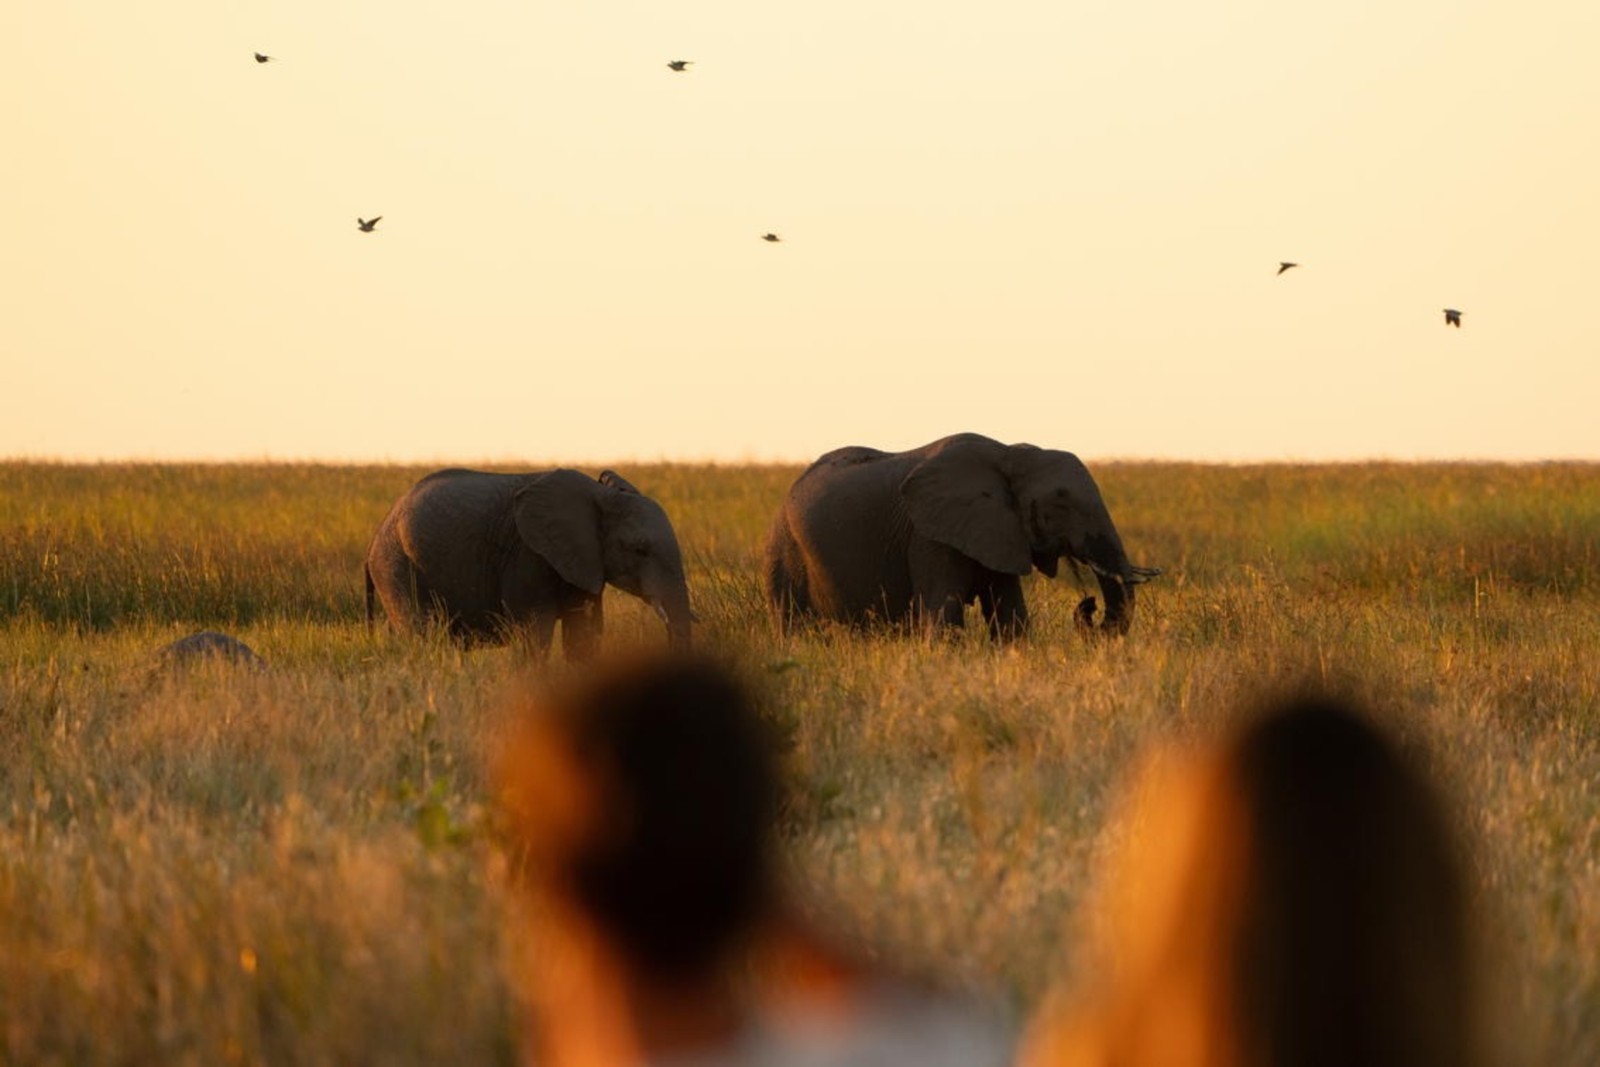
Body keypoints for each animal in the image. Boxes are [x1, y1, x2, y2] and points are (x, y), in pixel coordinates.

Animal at [365, 467, 691, 657]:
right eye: (640, 550)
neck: (601, 494)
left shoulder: (584, 561)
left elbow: (582, 637)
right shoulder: (528, 556)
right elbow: (535, 633)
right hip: (396, 565)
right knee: (422, 635)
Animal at [764, 433, 1159, 640]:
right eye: (1061, 502)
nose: (1088, 604)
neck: (1008, 454)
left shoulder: (999, 529)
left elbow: (1009, 613)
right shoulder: (929, 536)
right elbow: (944, 611)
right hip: (785, 548)